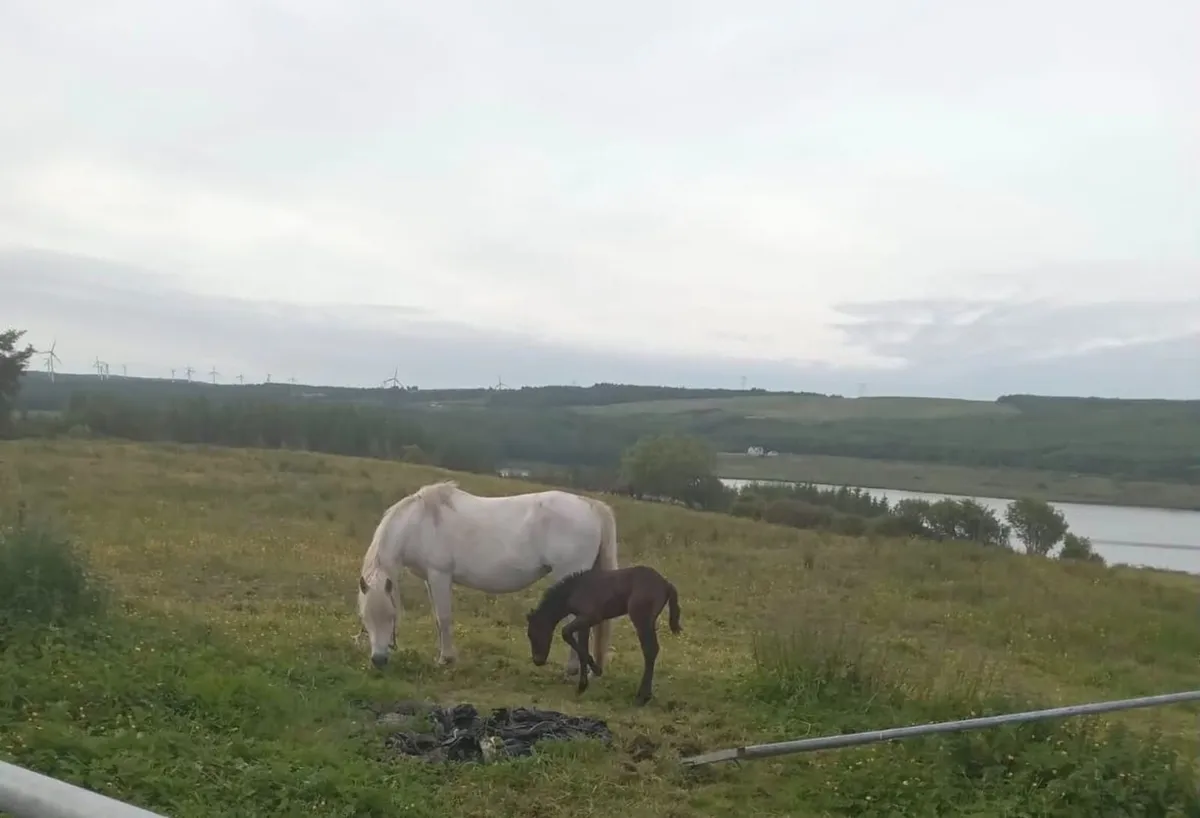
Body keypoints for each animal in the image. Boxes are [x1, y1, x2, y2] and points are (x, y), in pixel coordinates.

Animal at [356, 480, 620, 677]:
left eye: (390, 616)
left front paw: (446, 659)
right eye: (365, 617)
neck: (419, 523)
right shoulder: (430, 579)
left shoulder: (440, 575)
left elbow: (444, 618)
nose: (378, 660)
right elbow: (438, 619)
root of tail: (589, 506)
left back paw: (572, 669)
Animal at [525, 565, 681, 705]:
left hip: (641, 619)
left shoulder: (591, 617)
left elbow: (566, 633)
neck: (574, 589)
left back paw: (642, 697)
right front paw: (582, 686)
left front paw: (597, 670)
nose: (538, 661)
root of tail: (666, 584)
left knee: (650, 650)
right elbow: (582, 649)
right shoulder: (584, 623)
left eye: (533, 633)